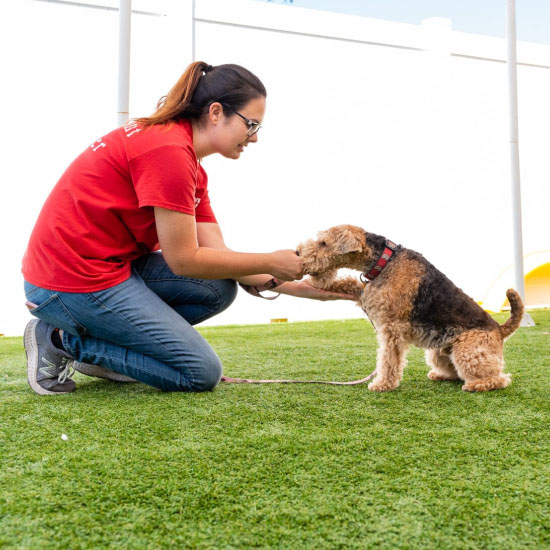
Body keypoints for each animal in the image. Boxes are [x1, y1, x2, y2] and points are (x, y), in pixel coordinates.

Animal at [298, 226, 528, 394]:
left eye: (323, 243)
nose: (299, 252)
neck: (385, 260)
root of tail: (499, 329)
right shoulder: (368, 293)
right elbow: (350, 283)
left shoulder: (391, 328)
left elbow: (388, 360)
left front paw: (383, 384)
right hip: (438, 352)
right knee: (456, 372)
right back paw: (440, 375)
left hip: (468, 352)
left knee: (500, 378)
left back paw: (475, 385)